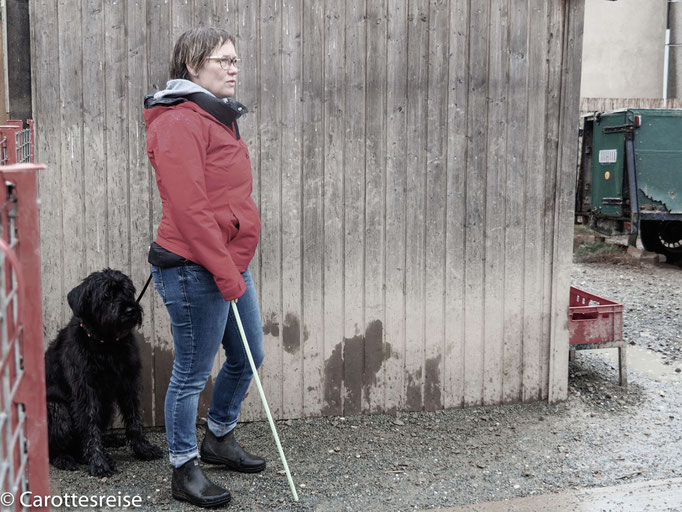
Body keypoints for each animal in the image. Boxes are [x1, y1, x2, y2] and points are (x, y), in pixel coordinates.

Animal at [44, 268, 162, 476]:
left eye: (128, 291)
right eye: (107, 295)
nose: (130, 310)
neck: (106, 344)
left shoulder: (128, 383)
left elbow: (134, 418)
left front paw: (143, 449)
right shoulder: (86, 391)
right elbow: (90, 425)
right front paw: (98, 462)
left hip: (107, 407)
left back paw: (109, 443)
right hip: (58, 411)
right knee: (55, 448)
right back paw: (65, 458)